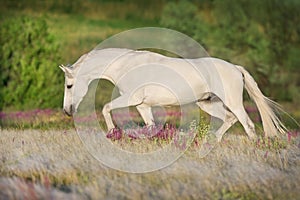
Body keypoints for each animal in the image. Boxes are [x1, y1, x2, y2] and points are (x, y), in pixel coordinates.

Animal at [59, 48, 286, 142]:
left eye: (69, 86)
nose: (67, 111)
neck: (126, 66)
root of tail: (235, 68)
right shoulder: (142, 106)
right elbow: (150, 127)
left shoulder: (131, 99)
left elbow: (105, 107)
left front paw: (112, 132)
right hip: (207, 103)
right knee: (230, 119)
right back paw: (212, 142)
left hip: (233, 102)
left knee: (247, 125)